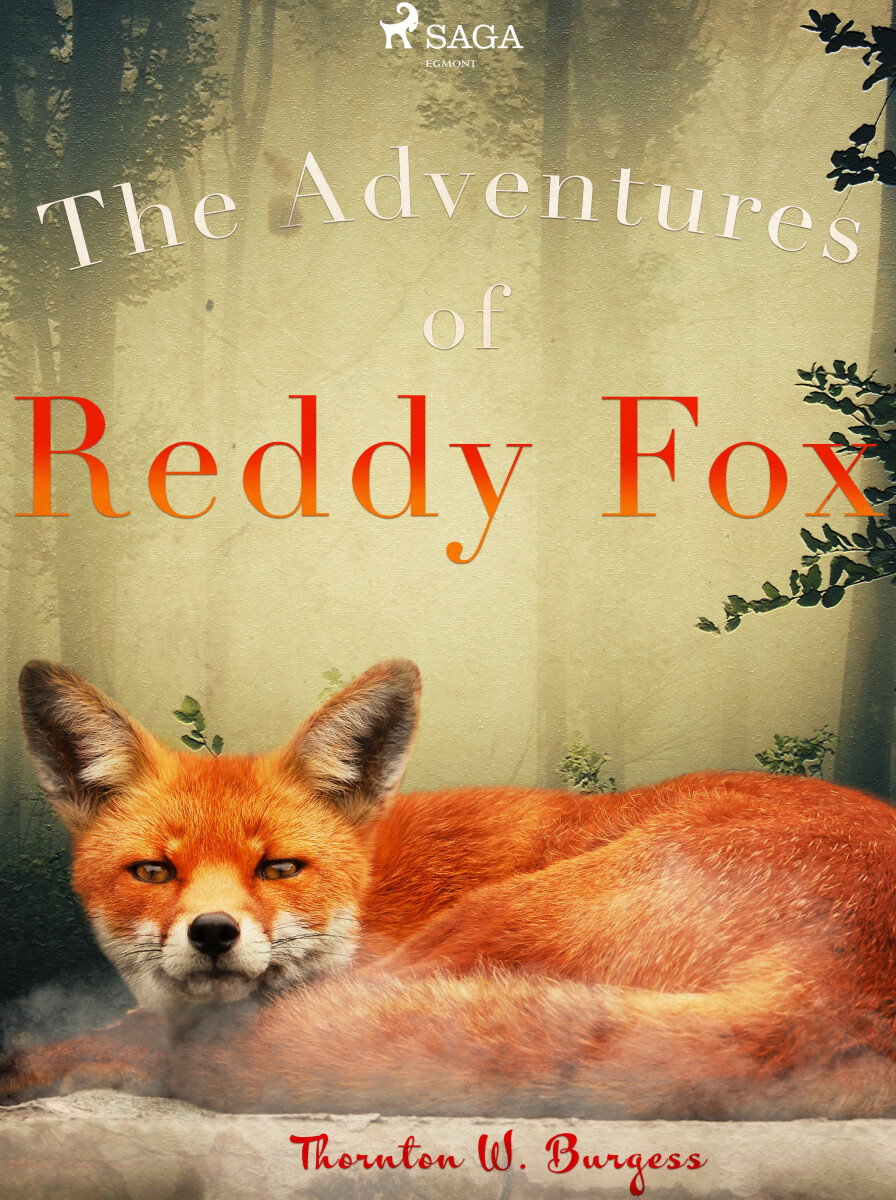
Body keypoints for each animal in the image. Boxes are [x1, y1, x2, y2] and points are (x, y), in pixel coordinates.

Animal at [4, 656, 896, 1118]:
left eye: (279, 867)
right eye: (154, 871)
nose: (214, 933)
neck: (374, 894)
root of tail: (826, 995)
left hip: (494, 918)